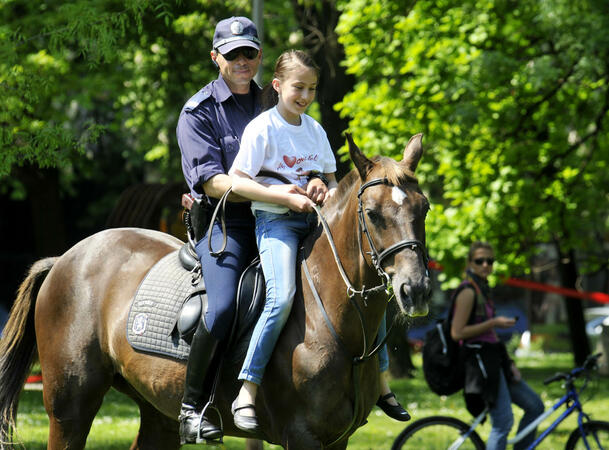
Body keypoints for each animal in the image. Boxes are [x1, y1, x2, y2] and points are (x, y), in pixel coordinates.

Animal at [0, 133, 430, 446]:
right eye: (372, 214)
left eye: (423, 208)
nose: (416, 290)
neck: (332, 324)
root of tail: (66, 258)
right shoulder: (301, 437)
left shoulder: (336, 440)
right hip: (69, 409)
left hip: (157, 412)